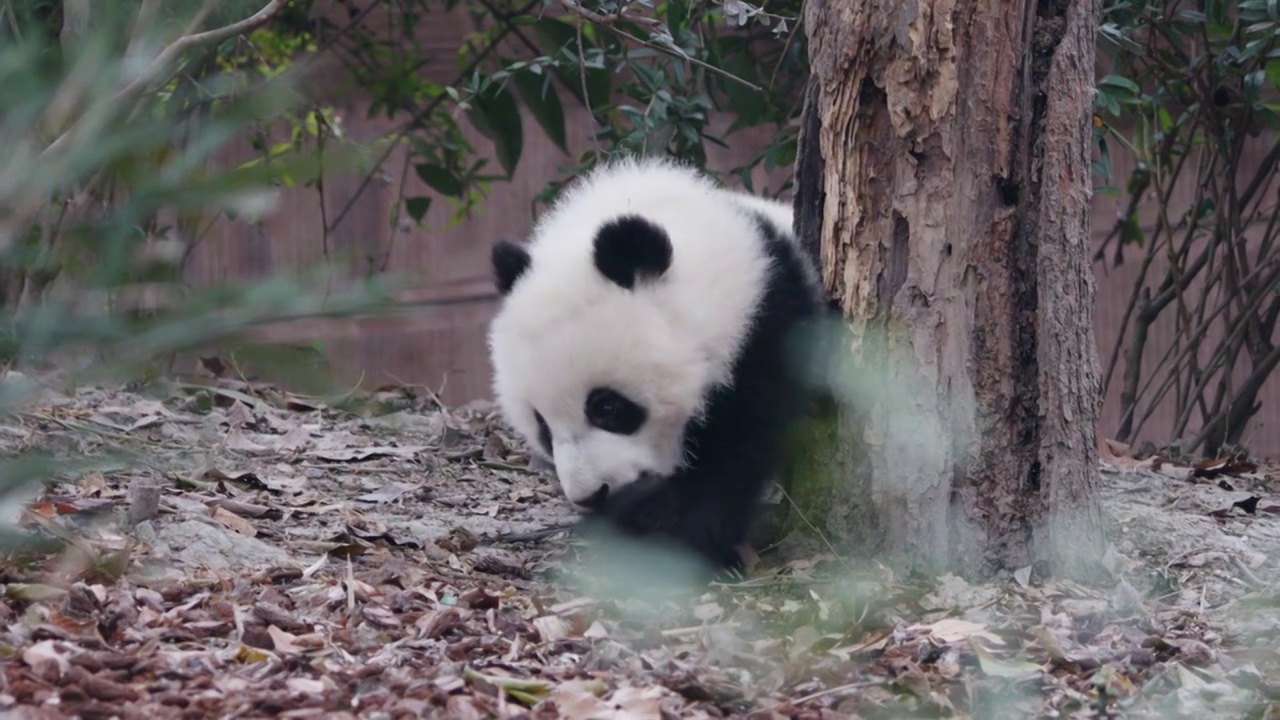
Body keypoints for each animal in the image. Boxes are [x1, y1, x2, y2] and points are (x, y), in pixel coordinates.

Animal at [486, 155, 829, 571]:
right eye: (542, 426)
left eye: (606, 407)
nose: (590, 495)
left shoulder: (766, 327)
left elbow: (737, 449)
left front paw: (686, 537)